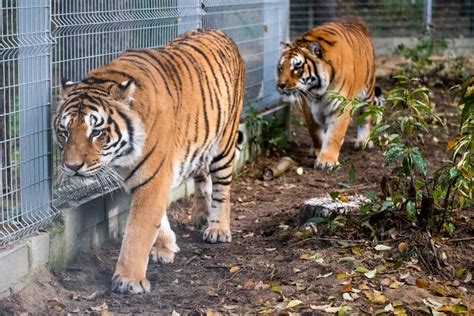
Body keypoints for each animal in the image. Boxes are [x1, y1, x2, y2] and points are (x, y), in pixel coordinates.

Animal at [53, 29, 244, 294]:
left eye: (96, 132)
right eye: (64, 132)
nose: (72, 167)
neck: (123, 157)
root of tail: (219, 32)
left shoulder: (154, 177)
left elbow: (138, 230)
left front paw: (128, 279)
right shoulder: (140, 177)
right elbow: (157, 218)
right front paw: (165, 247)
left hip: (224, 141)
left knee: (222, 187)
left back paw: (217, 228)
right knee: (201, 175)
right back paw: (201, 215)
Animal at [276, 16, 384, 170]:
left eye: (296, 67)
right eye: (280, 68)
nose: (280, 86)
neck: (316, 91)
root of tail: (356, 20)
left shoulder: (341, 106)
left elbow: (334, 134)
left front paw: (326, 161)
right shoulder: (308, 108)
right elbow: (315, 131)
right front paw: (318, 150)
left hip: (368, 90)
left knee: (366, 117)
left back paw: (362, 141)